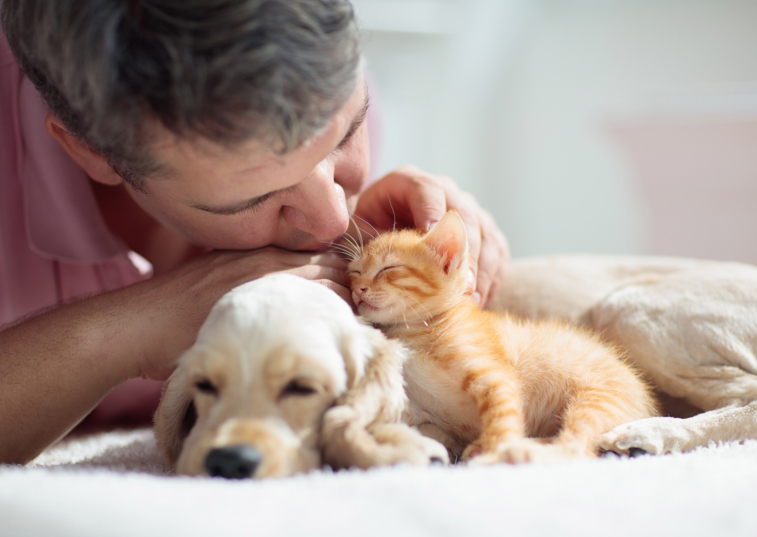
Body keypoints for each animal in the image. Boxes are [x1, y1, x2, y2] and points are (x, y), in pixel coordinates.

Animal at [344, 211, 656, 462]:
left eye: (388, 269)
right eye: (355, 272)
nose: (358, 289)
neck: (414, 330)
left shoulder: (493, 375)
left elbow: (502, 416)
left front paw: (496, 450)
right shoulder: (416, 405)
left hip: (598, 400)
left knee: (577, 449)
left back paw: (520, 452)